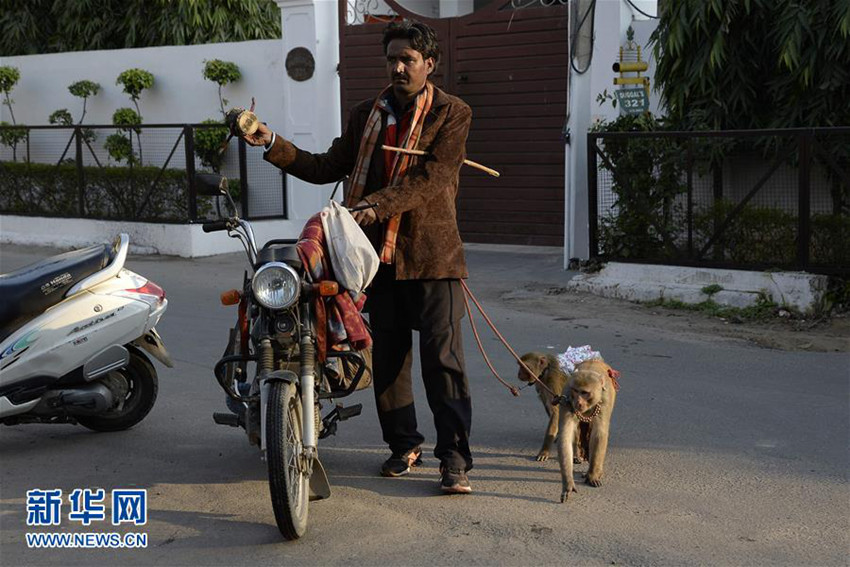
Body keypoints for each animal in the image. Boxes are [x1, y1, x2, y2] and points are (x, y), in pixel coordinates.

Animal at [556, 360, 616, 502]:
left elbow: (599, 434)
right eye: (576, 391)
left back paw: (597, 470)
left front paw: (593, 475)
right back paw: (577, 455)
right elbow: (565, 436)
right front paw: (568, 484)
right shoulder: (567, 398)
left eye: (584, 392)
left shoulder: (604, 401)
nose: (578, 401)